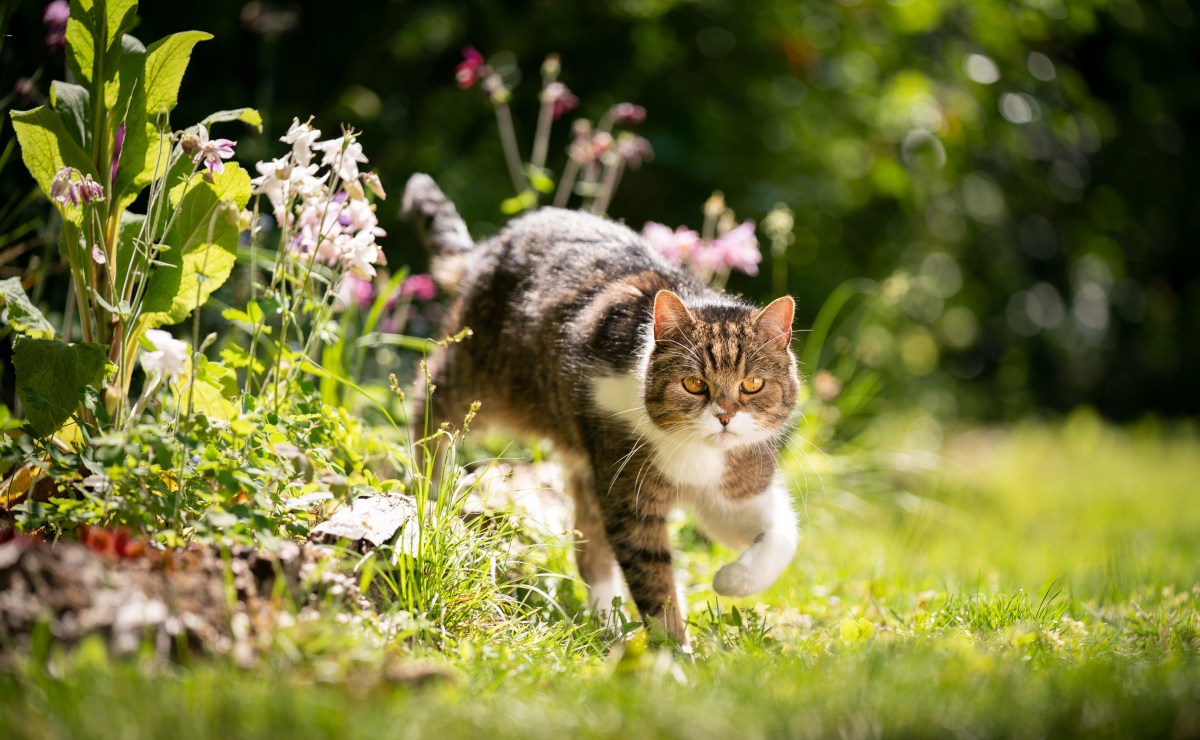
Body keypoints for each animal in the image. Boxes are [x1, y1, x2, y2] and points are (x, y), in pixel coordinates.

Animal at [398, 175, 801, 647]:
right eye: (694, 384)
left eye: (752, 385)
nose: (724, 417)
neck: (696, 453)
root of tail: (494, 243)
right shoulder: (628, 491)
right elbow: (653, 578)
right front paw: (675, 651)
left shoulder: (733, 486)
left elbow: (781, 535)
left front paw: (730, 581)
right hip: (481, 374)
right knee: (430, 404)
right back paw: (428, 483)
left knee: (589, 546)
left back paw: (606, 623)